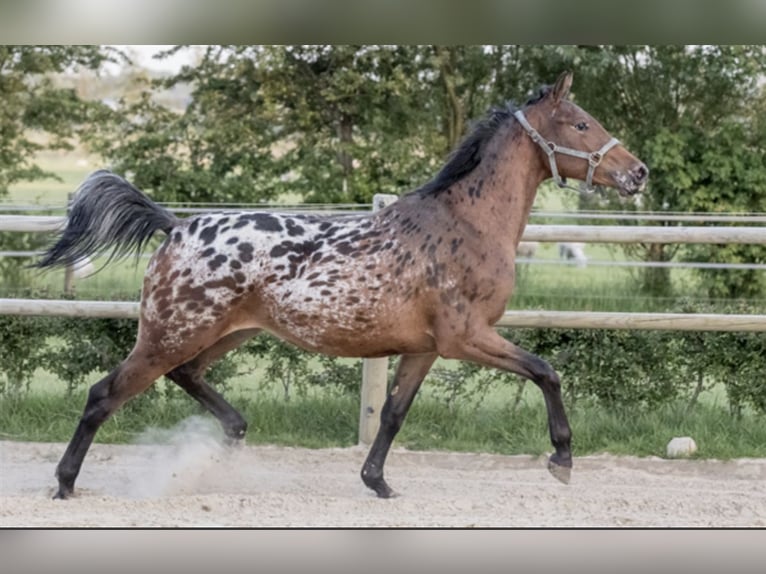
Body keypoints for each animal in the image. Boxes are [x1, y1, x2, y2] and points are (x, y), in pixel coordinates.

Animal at [36, 73, 648, 504]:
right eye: (581, 124)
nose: (637, 173)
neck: (467, 224)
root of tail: (175, 226)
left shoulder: (426, 349)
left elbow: (394, 414)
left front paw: (377, 482)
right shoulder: (466, 337)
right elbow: (547, 371)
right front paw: (562, 459)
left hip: (224, 334)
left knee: (186, 378)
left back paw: (231, 434)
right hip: (169, 335)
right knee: (103, 395)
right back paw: (65, 484)